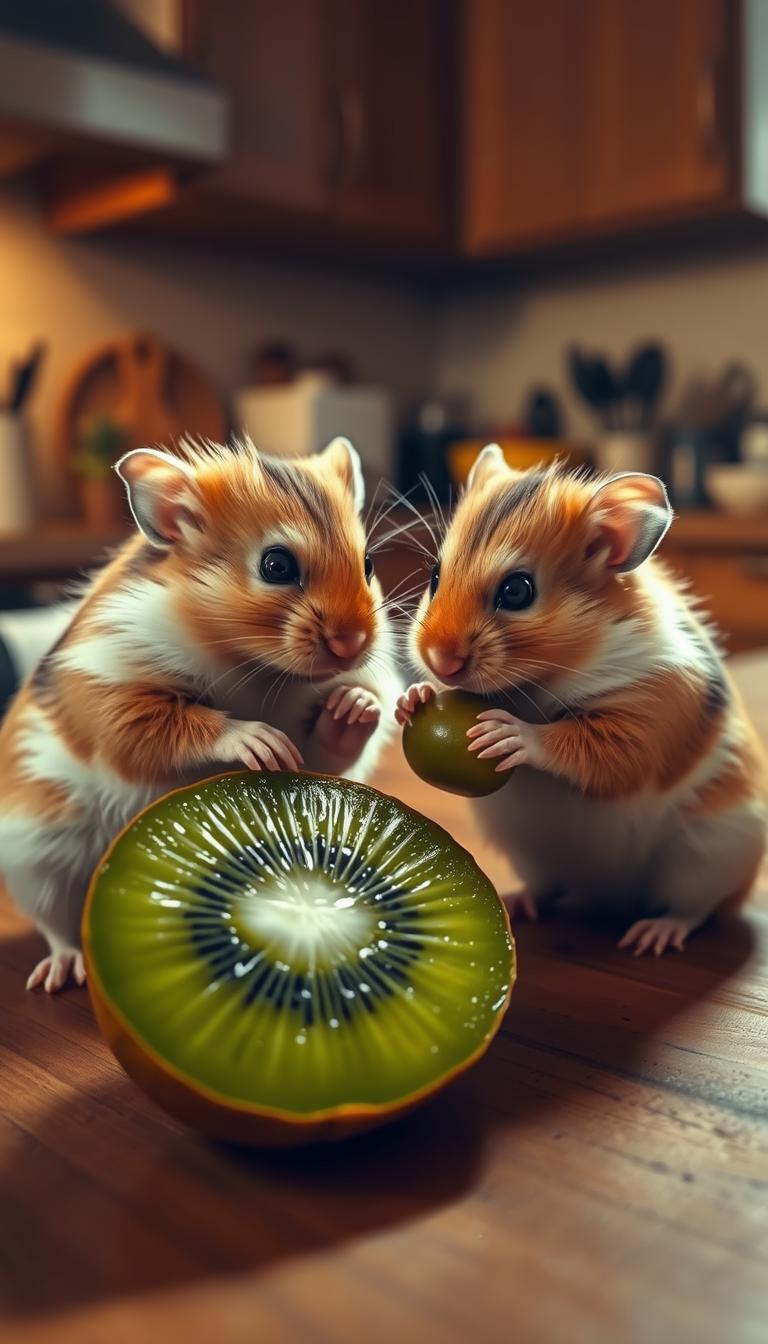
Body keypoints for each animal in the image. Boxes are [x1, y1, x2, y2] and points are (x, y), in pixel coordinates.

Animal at [0, 436, 400, 992]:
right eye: (277, 566)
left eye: (368, 564)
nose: (353, 646)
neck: (256, 668)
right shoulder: (114, 700)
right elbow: (179, 727)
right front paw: (262, 744)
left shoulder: (320, 748)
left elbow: (331, 746)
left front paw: (357, 704)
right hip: (37, 860)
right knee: (55, 925)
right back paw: (60, 974)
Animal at [397, 444, 767, 955]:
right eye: (434, 575)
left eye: (517, 590)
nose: (437, 660)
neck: (539, 682)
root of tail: (606, 894)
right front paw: (412, 698)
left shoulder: (648, 714)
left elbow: (582, 746)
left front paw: (505, 732)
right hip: (529, 852)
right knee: (549, 888)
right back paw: (518, 903)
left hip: (710, 855)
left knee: (694, 910)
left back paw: (650, 937)